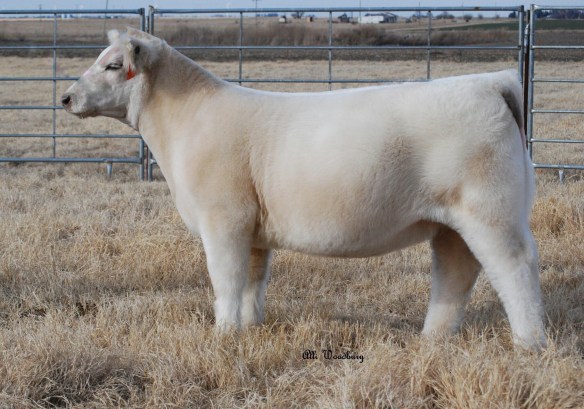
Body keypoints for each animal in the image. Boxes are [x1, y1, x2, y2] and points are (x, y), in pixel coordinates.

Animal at [61, 28, 547, 350]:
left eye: (112, 65)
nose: (65, 97)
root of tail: (491, 81)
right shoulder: (254, 229)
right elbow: (253, 282)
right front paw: (249, 328)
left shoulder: (224, 221)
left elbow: (226, 279)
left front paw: (224, 334)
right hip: (451, 222)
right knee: (455, 273)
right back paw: (432, 340)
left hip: (491, 211)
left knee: (515, 267)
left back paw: (530, 344)